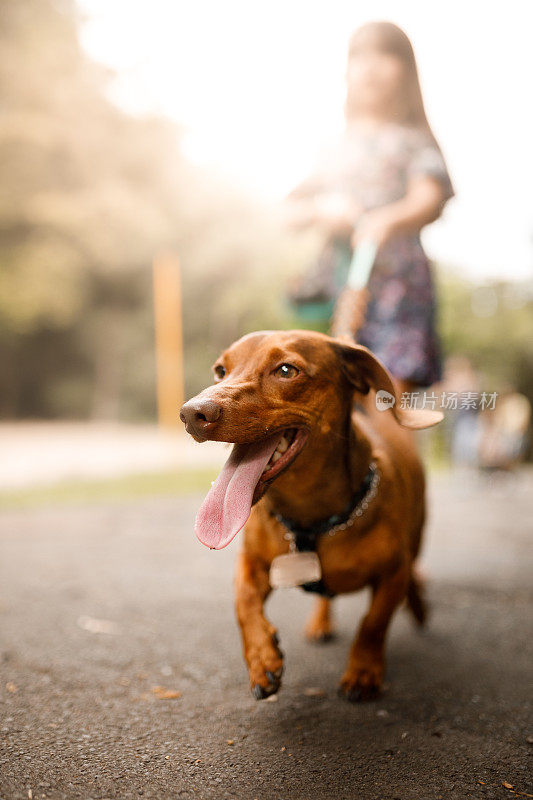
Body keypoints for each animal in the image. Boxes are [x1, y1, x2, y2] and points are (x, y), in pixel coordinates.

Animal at [179, 330, 440, 700]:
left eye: (287, 370)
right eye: (220, 370)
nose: (191, 414)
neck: (310, 519)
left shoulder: (393, 573)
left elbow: (373, 623)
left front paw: (363, 671)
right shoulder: (251, 561)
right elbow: (243, 601)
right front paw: (262, 658)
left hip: (416, 539)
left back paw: (417, 605)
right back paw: (321, 622)